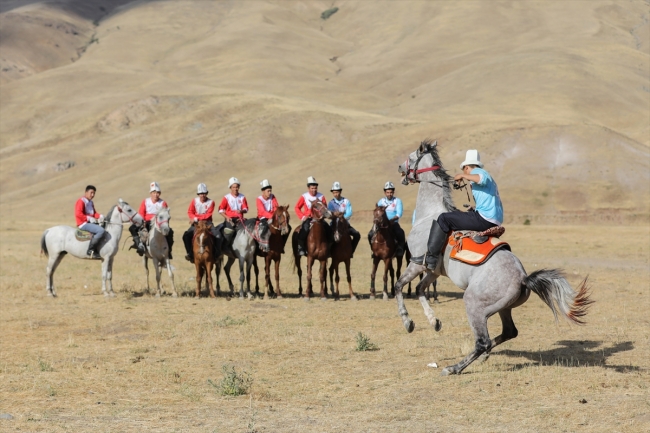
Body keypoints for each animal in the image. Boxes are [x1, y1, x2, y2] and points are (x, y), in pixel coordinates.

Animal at [392, 139, 588, 374]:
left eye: (411, 157)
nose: (400, 168)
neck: (429, 214)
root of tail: (523, 277)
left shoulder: (418, 264)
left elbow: (399, 286)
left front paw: (407, 322)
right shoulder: (433, 271)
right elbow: (420, 290)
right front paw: (434, 321)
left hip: (474, 305)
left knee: (482, 341)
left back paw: (454, 368)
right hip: (503, 308)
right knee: (509, 332)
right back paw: (482, 356)